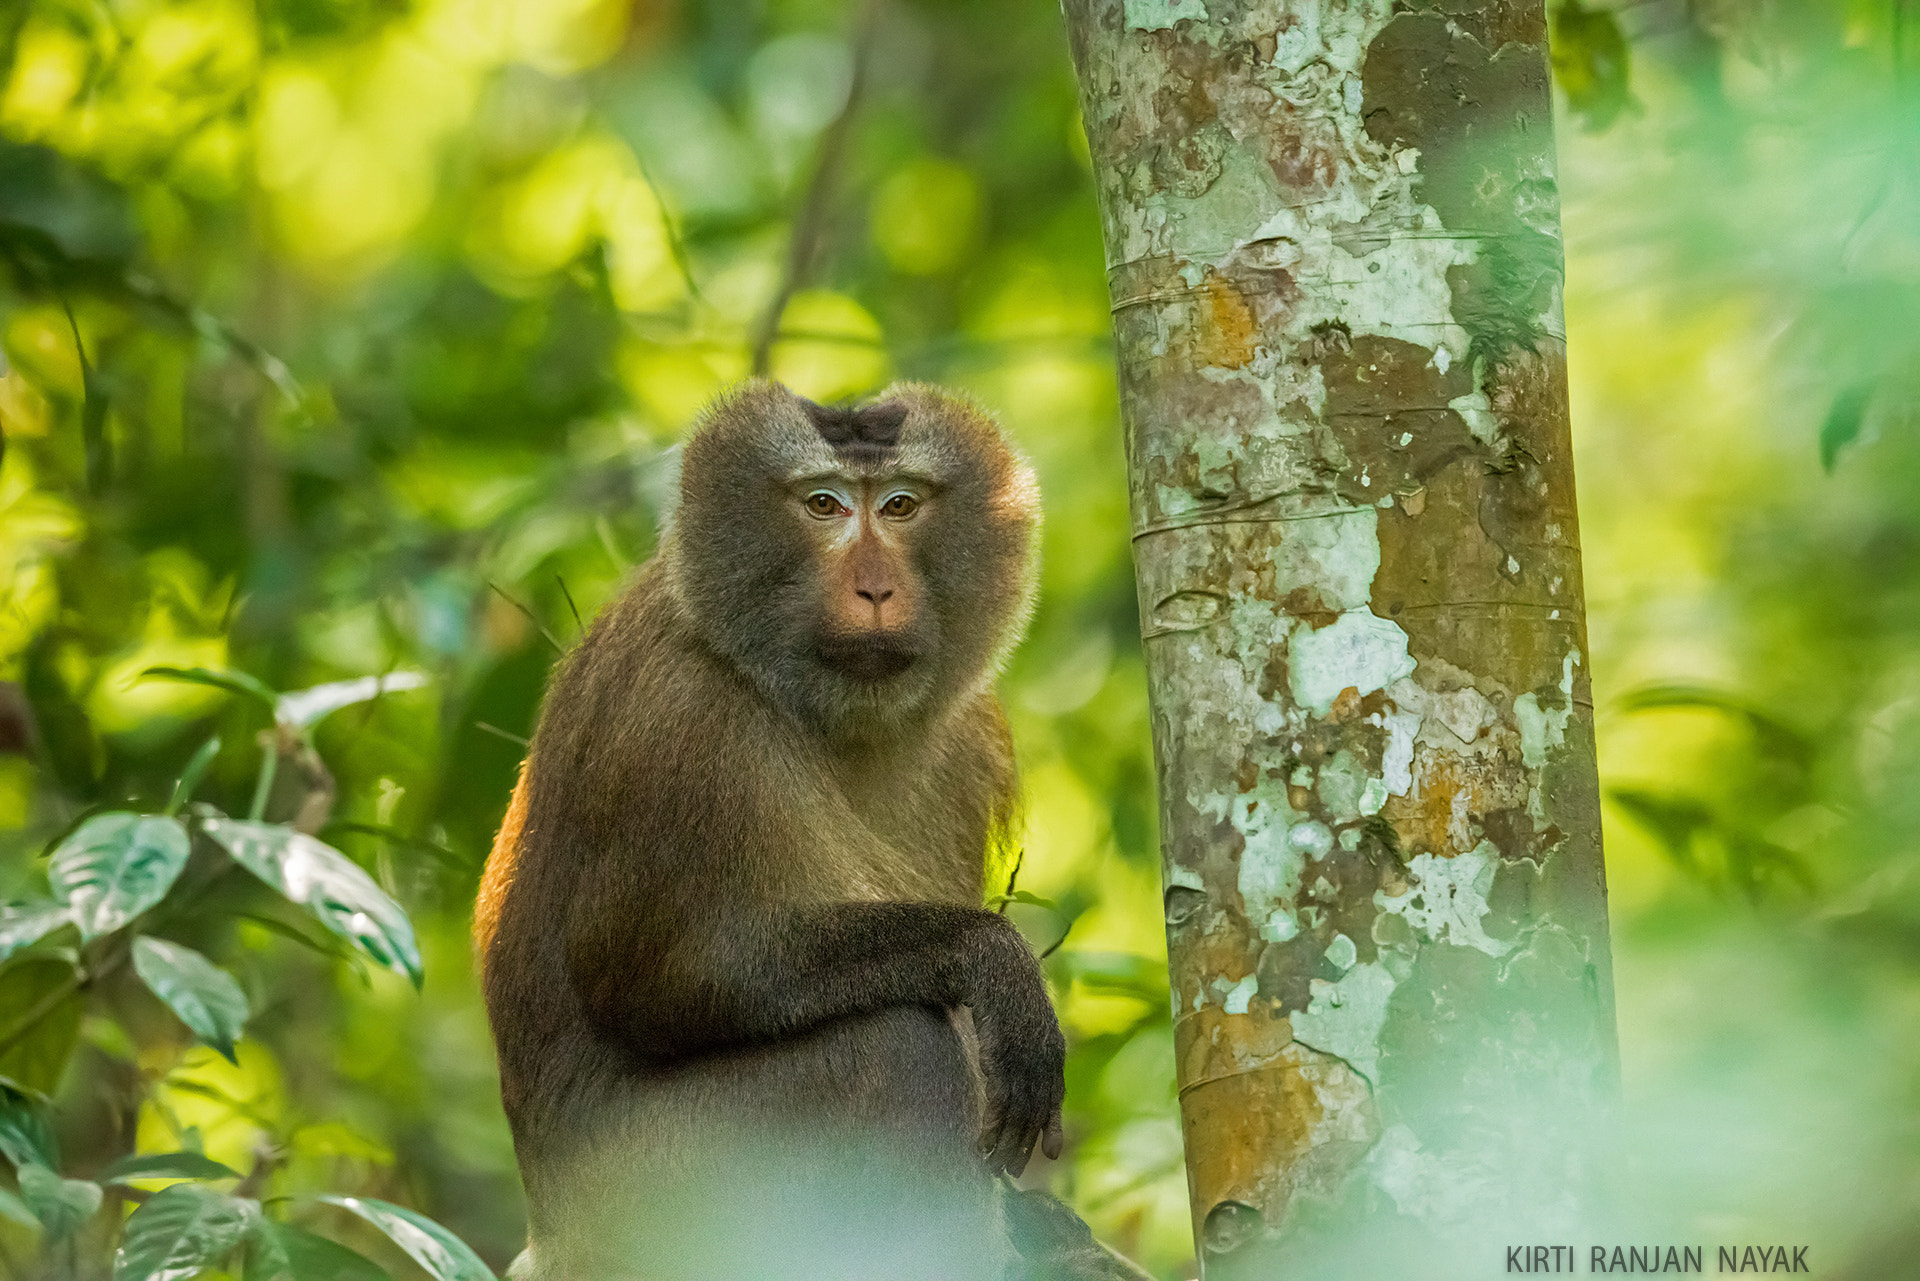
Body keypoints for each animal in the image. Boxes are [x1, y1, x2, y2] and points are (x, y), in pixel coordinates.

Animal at [476, 380, 1152, 1281]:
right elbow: (665, 977)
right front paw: (990, 960)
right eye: (823, 504)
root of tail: (552, 1240)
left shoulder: (971, 734)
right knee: (897, 1049)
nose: (874, 589)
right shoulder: (679, 719)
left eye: (900, 505)